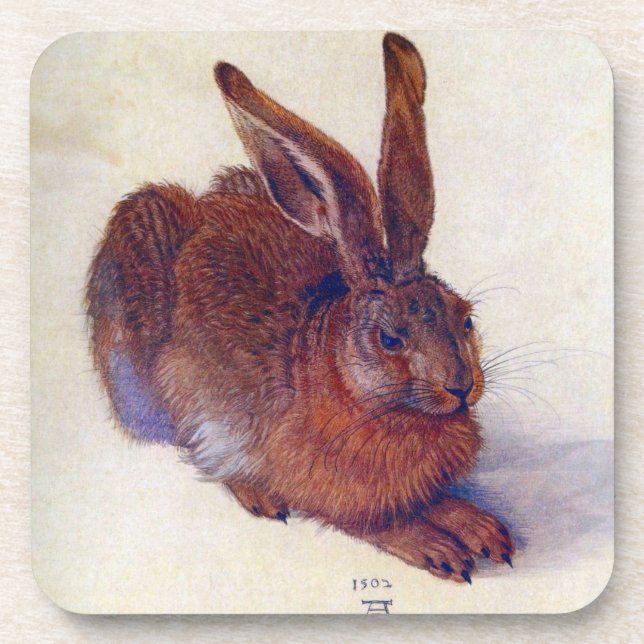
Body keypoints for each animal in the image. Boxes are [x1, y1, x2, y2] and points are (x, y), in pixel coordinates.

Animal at [86, 32, 515, 584]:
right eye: (390, 339)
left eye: (466, 318)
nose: (461, 387)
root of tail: (203, 209)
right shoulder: (324, 485)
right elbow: (380, 521)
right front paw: (439, 546)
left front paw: (483, 529)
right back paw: (254, 492)